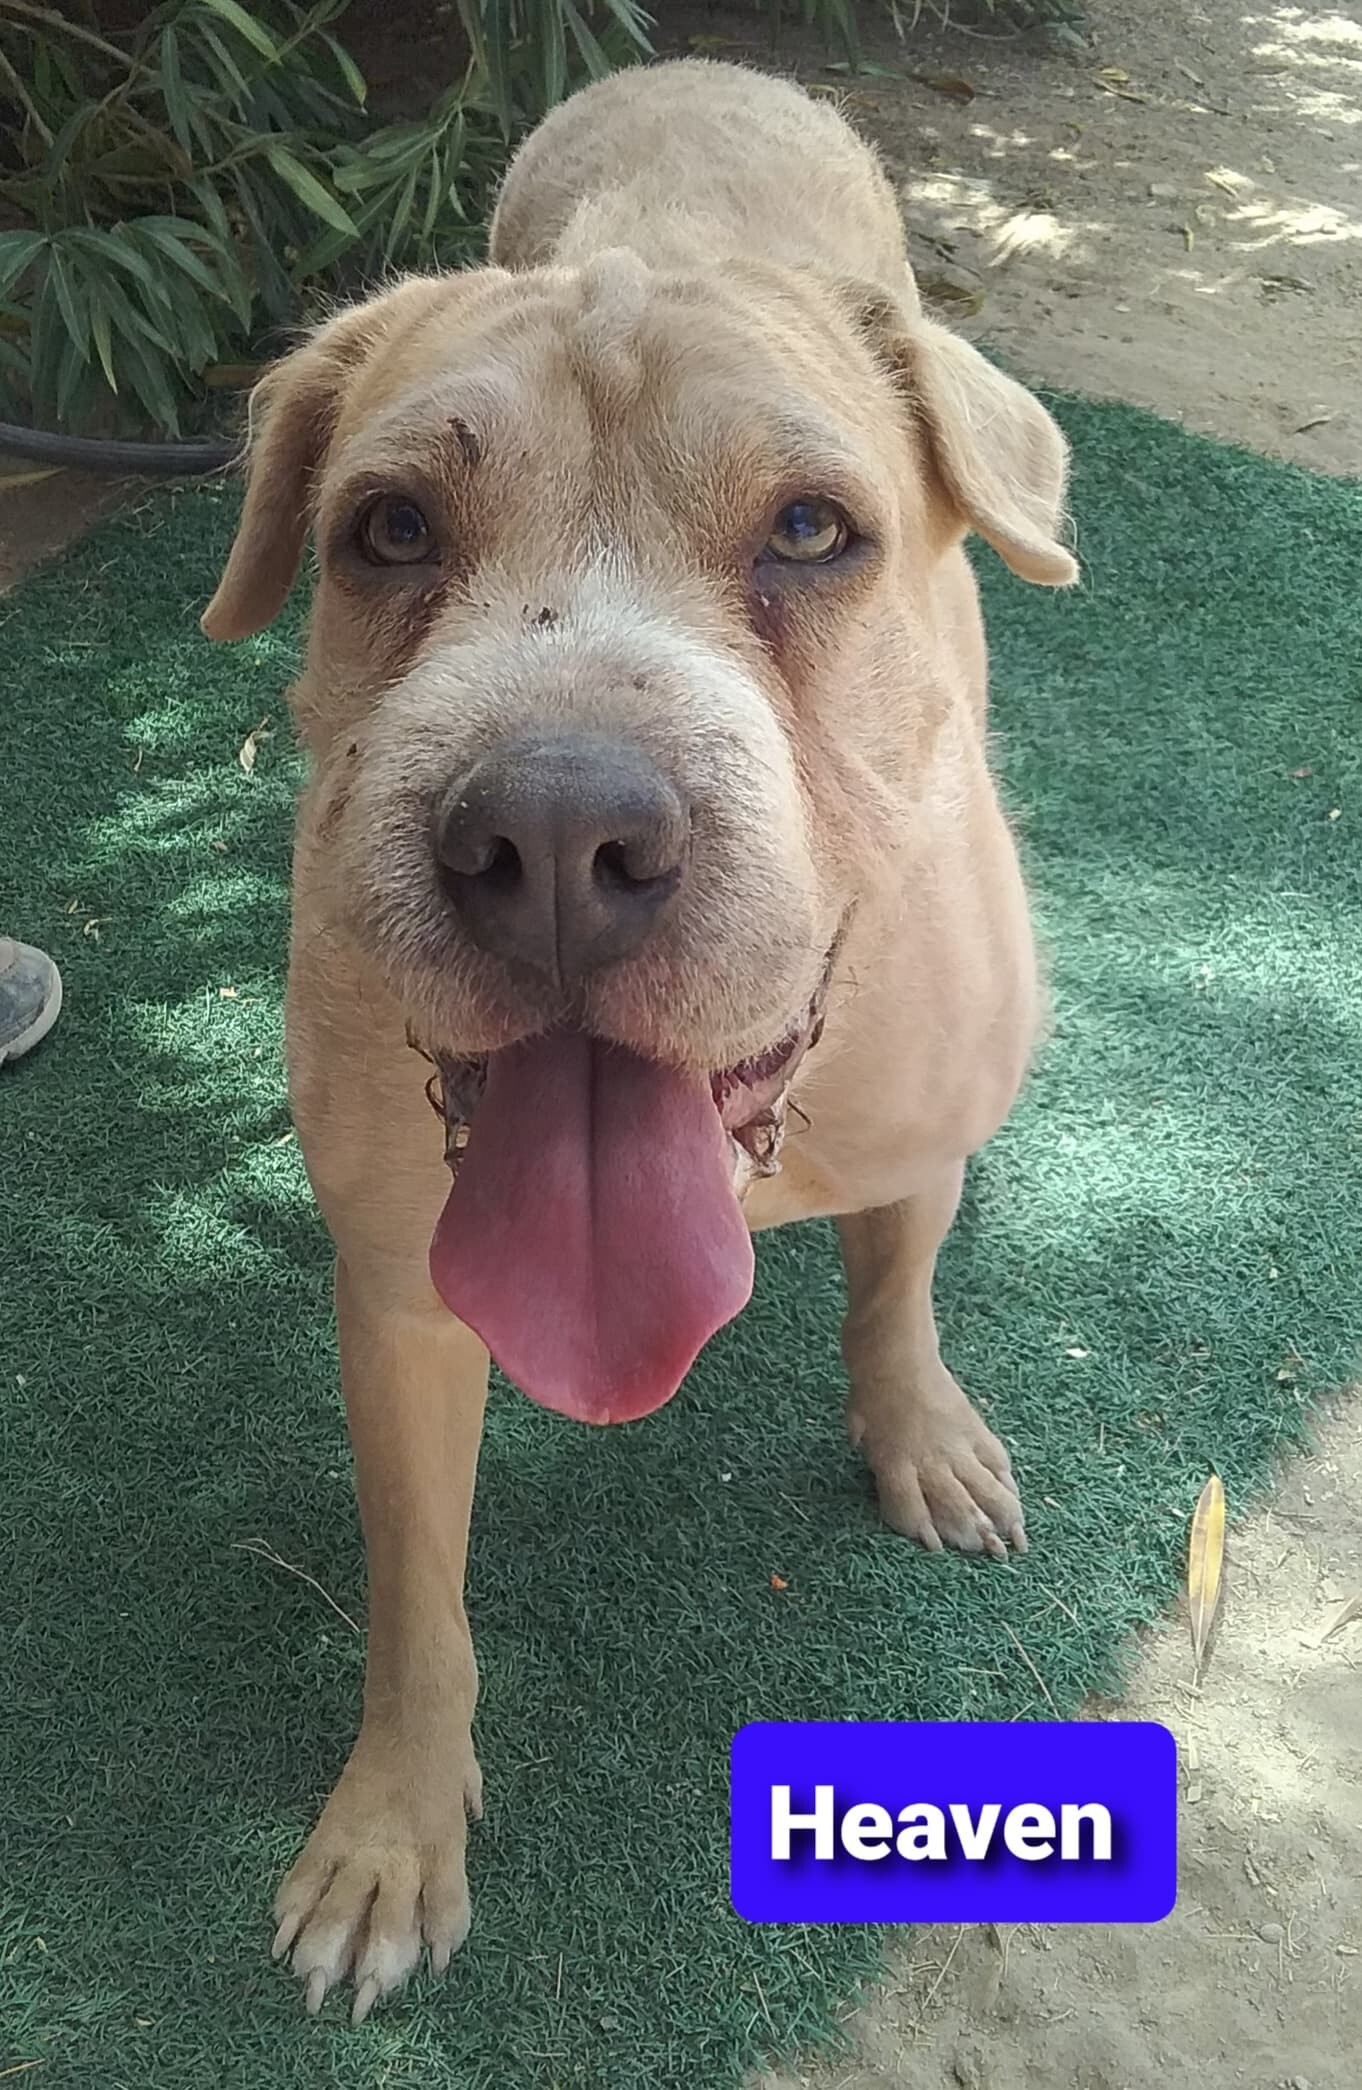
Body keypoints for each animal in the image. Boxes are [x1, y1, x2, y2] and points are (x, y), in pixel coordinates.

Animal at [202, 61, 1077, 2023]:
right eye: (388, 530)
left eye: (811, 531)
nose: (549, 836)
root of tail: (699, 65)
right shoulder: (401, 1297)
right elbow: (416, 1599)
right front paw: (390, 1834)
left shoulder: (918, 1129)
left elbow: (896, 1282)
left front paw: (915, 1431)